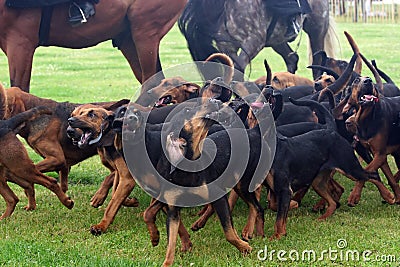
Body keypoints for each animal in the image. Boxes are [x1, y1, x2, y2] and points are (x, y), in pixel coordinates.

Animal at [178, 0, 338, 79]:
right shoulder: (227, 47)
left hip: (317, 28)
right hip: (277, 39)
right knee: (292, 59)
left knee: (317, 62)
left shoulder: (253, 42)